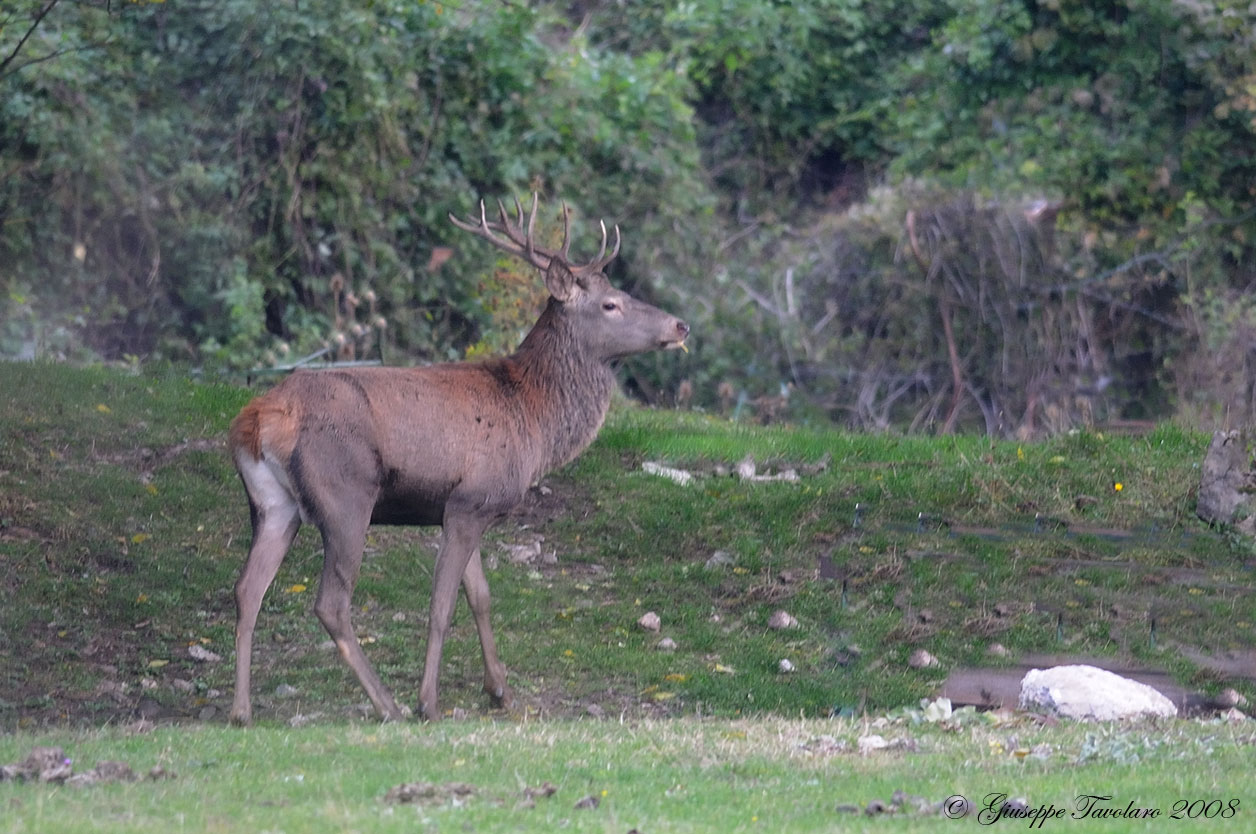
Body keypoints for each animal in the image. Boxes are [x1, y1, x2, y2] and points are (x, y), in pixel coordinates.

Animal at [231, 195, 693, 723]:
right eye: (610, 303)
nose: (680, 325)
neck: (533, 417)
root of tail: (258, 421)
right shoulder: (472, 500)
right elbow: (442, 605)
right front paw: (429, 702)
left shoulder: (461, 505)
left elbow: (482, 596)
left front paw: (500, 690)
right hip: (345, 496)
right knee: (331, 603)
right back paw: (389, 705)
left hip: (272, 504)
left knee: (248, 589)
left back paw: (241, 711)